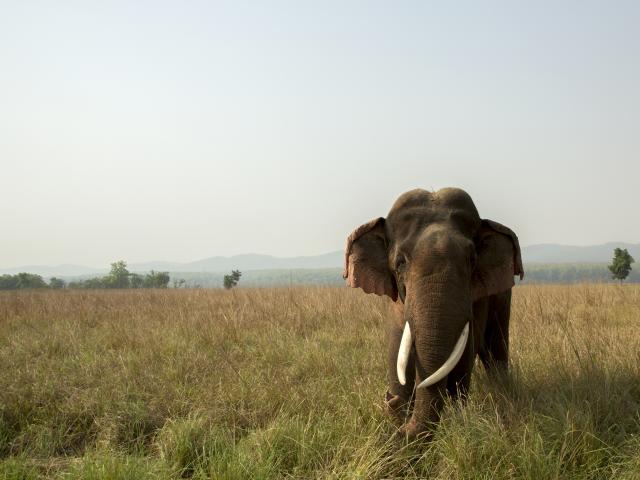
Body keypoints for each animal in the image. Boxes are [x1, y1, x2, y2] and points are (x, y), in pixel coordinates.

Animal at [343, 187, 523, 440]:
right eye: (400, 263)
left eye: (472, 260)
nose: (389, 400)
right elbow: (396, 354)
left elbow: (462, 362)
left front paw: (457, 416)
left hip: (502, 297)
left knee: (495, 348)